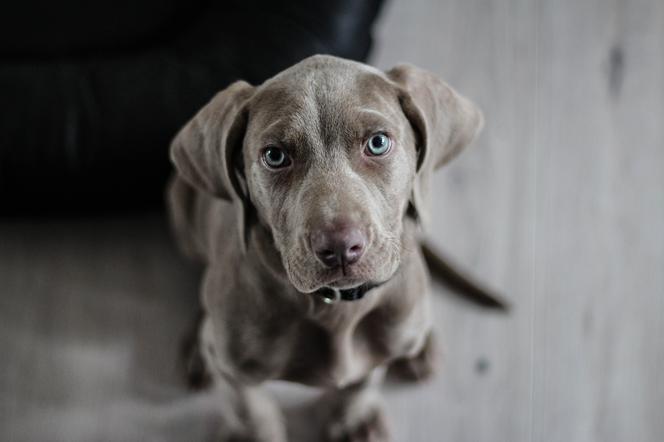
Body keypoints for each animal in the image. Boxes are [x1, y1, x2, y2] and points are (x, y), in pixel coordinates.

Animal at [169, 55, 486, 442]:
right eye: (275, 156)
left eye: (378, 143)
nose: (340, 247)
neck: (336, 307)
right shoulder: (234, 368)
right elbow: (249, 406)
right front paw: (254, 432)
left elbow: (364, 378)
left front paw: (354, 419)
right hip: (180, 206)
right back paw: (197, 348)